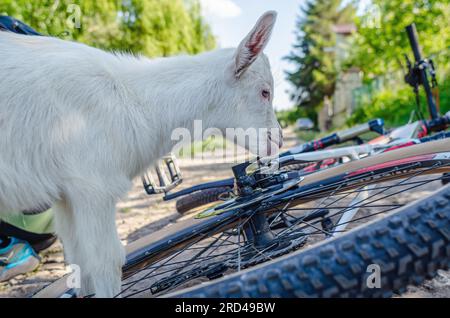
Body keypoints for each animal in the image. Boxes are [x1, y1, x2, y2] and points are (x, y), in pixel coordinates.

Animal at [0, 11, 282, 296]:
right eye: (264, 92)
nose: (277, 140)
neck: (132, 98)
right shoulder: (93, 186)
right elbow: (106, 262)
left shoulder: (67, 196)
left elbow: (80, 264)